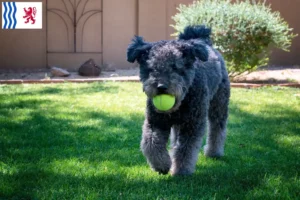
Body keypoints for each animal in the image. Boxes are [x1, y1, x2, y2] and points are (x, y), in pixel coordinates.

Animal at [126, 25, 230, 175]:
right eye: (151, 68)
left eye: (175, 67)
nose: (161, 87)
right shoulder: (155, 122)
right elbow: (151, 143)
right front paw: (162, 165)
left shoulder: (192, 125)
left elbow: (185, 150)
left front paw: (181, 171)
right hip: (178, 123)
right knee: (175, 138)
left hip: (218, 106)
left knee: (217, 129)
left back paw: (213, 152)